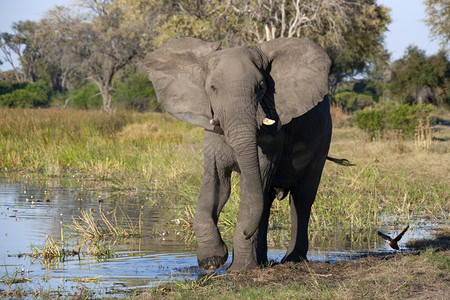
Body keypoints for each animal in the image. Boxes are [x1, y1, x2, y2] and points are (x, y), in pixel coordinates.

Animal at [141, 37, 334, 272]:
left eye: (261, 87)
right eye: (213, 88)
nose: (244, 232)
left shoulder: (274, 133)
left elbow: (251, 187)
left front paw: (239, 270)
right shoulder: (212, 131)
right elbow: (217, 185)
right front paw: (212, 261)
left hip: (323, 141)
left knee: (302, 199)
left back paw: (292, 260)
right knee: (266, 202)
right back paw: (263, 261)